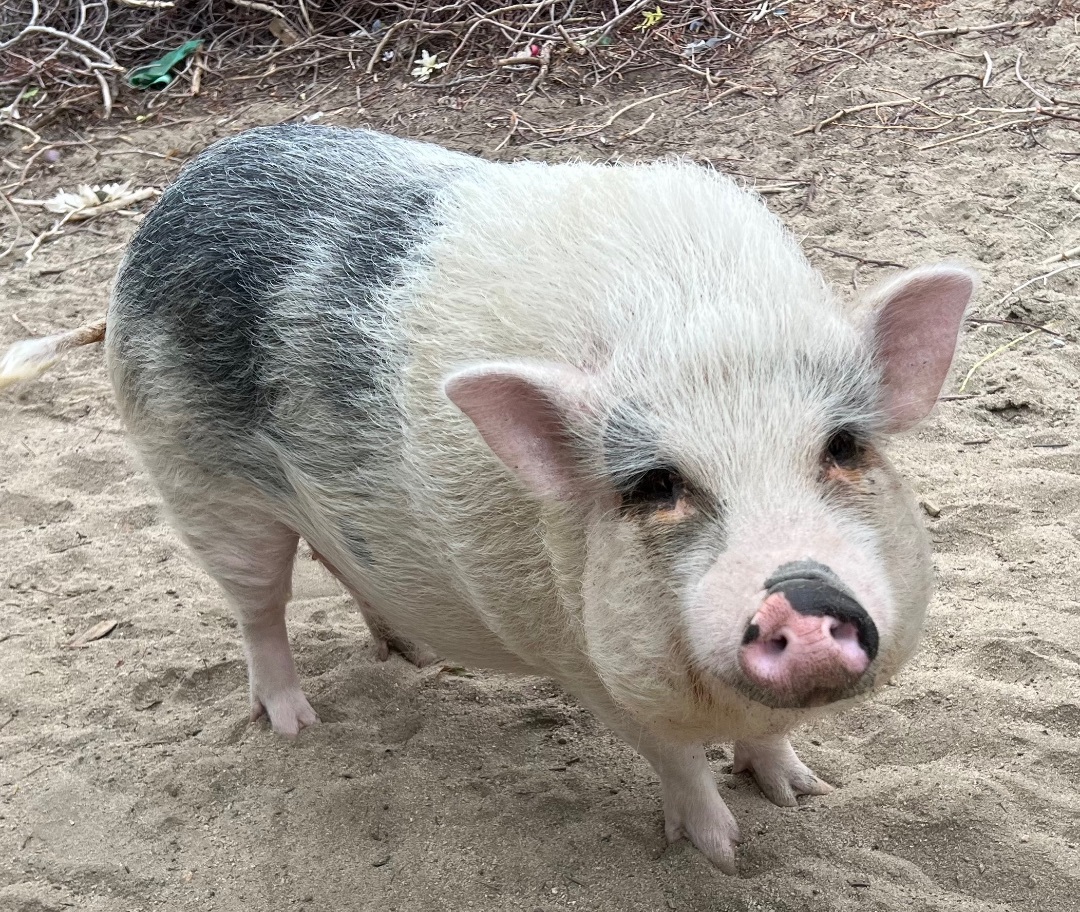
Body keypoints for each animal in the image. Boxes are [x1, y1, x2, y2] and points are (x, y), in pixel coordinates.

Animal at [0, 124, 975, 872]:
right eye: (655, 485)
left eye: (844, 446)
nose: (803, 594)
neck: (687, 320)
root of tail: (174, 191)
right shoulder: (582, 663)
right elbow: (673, 759)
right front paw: (723, 855)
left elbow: (768, 740)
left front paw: (809, 795)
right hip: (200, 488)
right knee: (259, 608)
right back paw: (297, 725)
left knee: (341, 563)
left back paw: (416, 657)